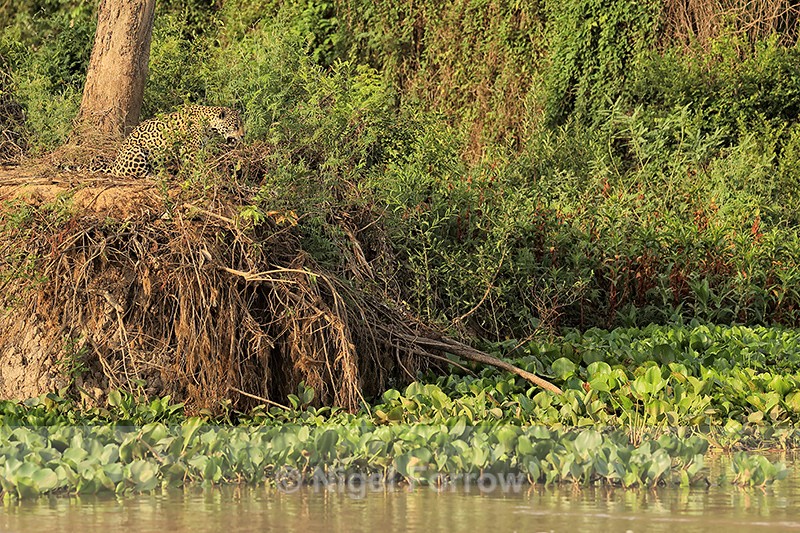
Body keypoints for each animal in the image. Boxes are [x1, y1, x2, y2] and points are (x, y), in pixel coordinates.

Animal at [109, 104, 245, 178]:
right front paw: (201, 175)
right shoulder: (190, 149)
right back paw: (157, 176)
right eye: (236, 126)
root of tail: (114, 165)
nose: (243, 136)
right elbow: (195, 164)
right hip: (136, 150)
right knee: (138, 174)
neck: (210, 125)